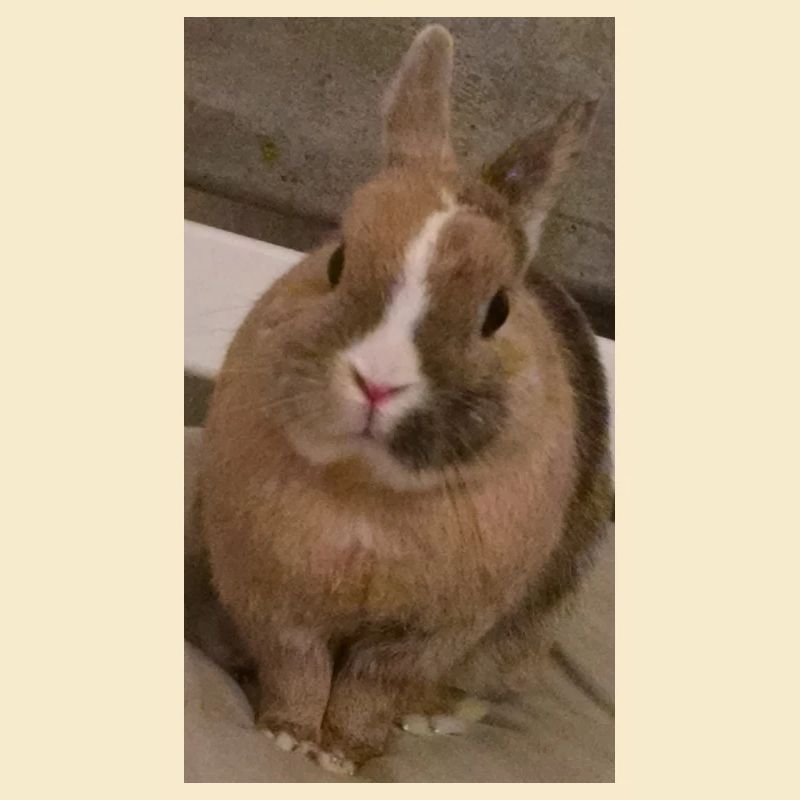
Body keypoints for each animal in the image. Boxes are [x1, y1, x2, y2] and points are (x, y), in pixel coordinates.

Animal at [199, 24, 612, 775]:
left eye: (497, 309)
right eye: (336, 262)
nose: (377, 380)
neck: (365, 494)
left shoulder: (426, 634)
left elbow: (370, 688)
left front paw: (345, 754)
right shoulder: (275, 605)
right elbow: (298, 670)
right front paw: (290, 736)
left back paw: (432, 717)